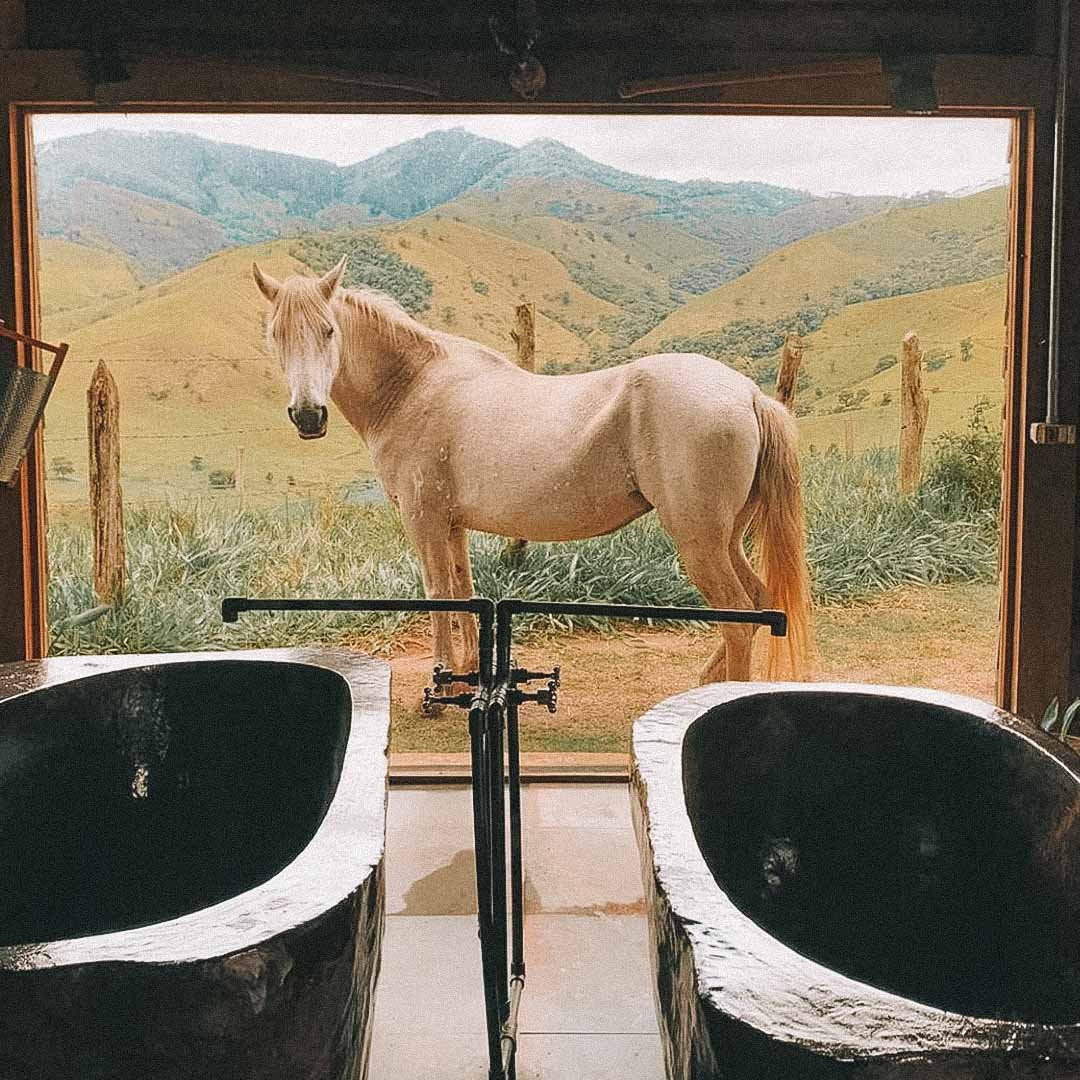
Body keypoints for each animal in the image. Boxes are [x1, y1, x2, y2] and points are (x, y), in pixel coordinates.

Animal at [252, 258, 812, 682]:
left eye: (328, 331)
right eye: (275, 335)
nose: (308, 416)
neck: (413, 386)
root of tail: (748, 393)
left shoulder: (423, 520)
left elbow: (438, 594)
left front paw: (441, 681)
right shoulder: (452, 526)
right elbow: (463, 592)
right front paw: (466, 674)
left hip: (700, 540)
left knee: (737, 618)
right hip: (727, 539)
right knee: (757, 605)